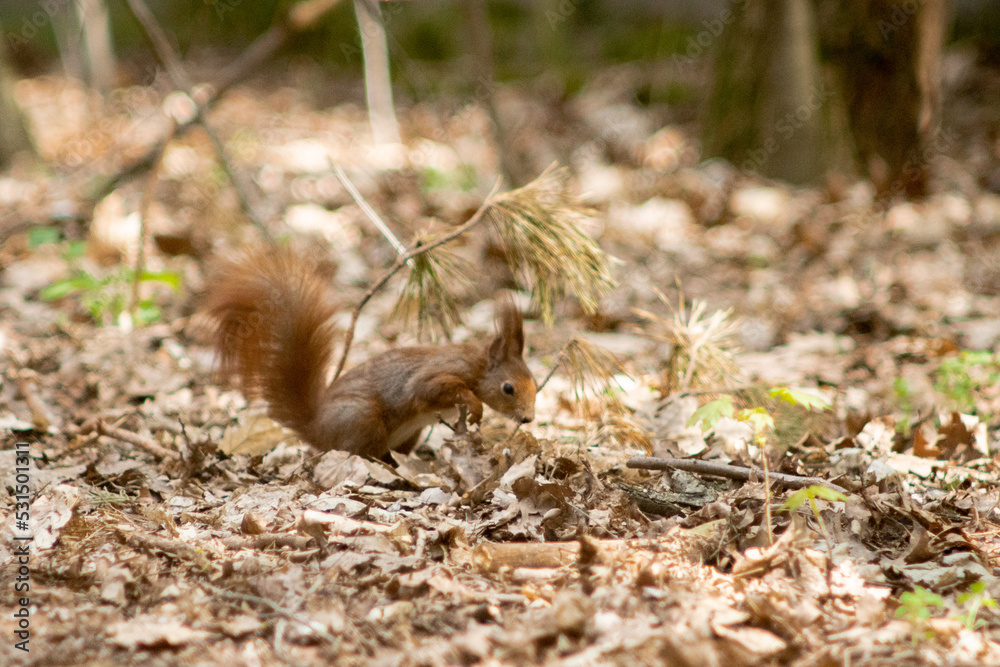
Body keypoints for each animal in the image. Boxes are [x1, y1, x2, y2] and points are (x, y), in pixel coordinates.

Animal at [199, 246, 537, 459]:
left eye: (535, 385)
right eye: (508, 388)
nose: (529, 419)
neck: (477, 365)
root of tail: (315, 428)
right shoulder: (437, 374)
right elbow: (435, 389)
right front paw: (475, 407)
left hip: (407, 434)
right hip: (362, 418)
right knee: (359, 451)